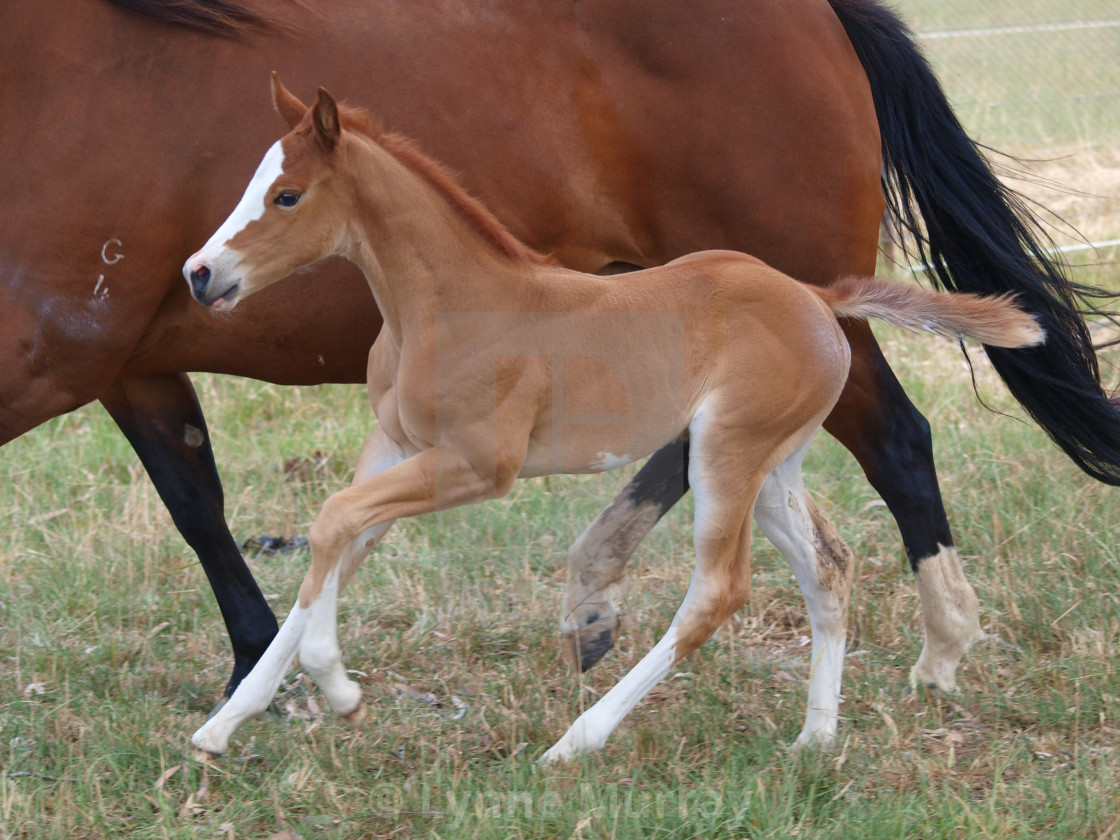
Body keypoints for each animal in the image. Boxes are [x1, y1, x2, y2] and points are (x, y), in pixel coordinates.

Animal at [181, 78, 1039, 761]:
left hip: (726, 454)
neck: (443, 306)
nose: (199, 273)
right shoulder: (394, 450)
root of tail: (815, 295)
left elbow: (331, 522)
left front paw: (339, 686)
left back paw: (578, 740)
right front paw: (225, 726)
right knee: (827, 566)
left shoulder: (476, 464)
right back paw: (815, 738)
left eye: (287, 196)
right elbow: (337, 545)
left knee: (717, 591)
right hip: (769, 464)